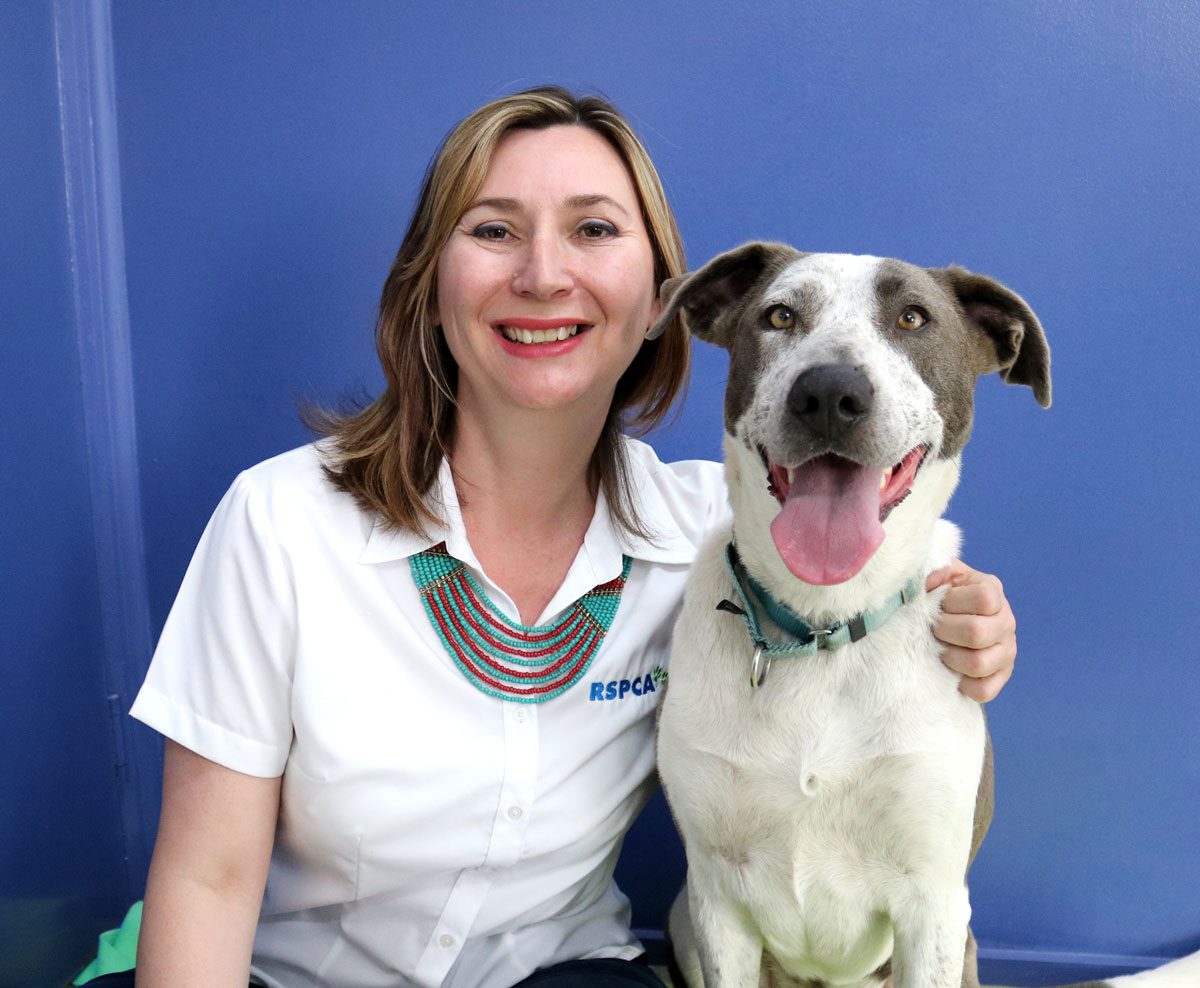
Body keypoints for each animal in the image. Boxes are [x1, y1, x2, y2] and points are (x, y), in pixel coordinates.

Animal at [657, 244, 1200, 988]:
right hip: (684, 916)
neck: (824, 625)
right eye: (780, 315)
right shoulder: (717, 900)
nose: (829, 395)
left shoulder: (933, 904)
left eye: (914, 318)